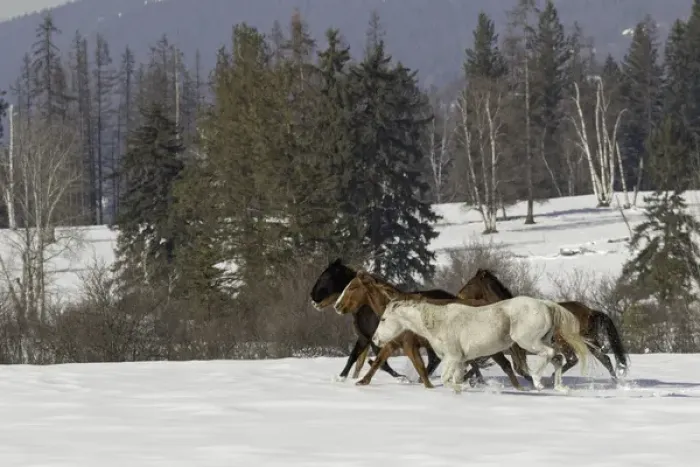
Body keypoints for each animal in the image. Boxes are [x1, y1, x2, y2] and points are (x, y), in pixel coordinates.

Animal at [309, 258, 462, 383]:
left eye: (326, 276)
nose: (312, 297)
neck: (367, 308)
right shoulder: (365, 337)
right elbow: (355, 358)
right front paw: (343, 377)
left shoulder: (375, 339)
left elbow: (380, 361)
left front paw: (401, 378)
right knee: (434, 359)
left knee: (435, 359)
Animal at [334, 270, 525, 390]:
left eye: (352, 287)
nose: (337, 306)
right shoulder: (394, 344)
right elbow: (378, 361)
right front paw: (362, 382)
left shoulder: (410, 346)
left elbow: (421, 369)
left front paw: (429, 388)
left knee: (506, 366)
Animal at [372, 296, 591, 393]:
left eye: (383, 319)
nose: (375, 339)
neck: (439, 323)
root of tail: (544, 304)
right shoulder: (460, 361)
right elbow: (455, 379)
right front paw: (464, 387)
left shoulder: (452, 358)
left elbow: (445, 379)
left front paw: (465, 386)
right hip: (541, 340)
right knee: (558, 358)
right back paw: (560, 387)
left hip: (529, 342)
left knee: (550, 354)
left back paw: (538, 381)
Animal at [458, 269, 629, 381]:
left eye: (470, 283)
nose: (459, 294)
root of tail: (590, 311)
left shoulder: (516, 346)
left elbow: (518, 367)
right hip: (590, 341)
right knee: (605, 359)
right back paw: (616, 382)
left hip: (564, 341)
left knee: (573, 359)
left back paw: (553, 377)